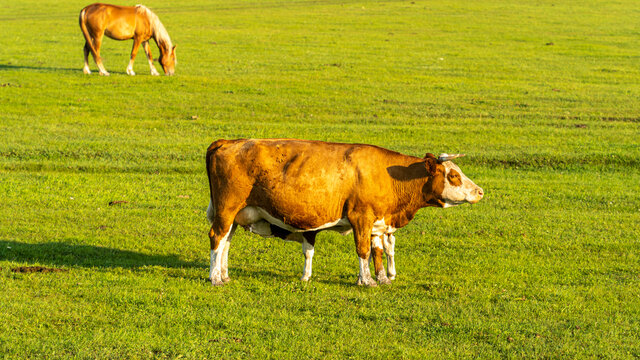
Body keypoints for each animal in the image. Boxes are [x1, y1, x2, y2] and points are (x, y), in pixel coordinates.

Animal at [208, 139, 482, 286]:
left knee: (226, 242)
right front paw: (366, 281)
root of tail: (229, 142)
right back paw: (214, 277)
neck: (391, 175)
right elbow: (363, 250)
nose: (480, 192)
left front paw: (382, 278)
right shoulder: (361, 217)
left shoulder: (377, 222)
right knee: (216, 238)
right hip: (226, 209)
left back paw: (224, 275)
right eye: (453, 175)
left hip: (235, 215)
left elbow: (377, 251)